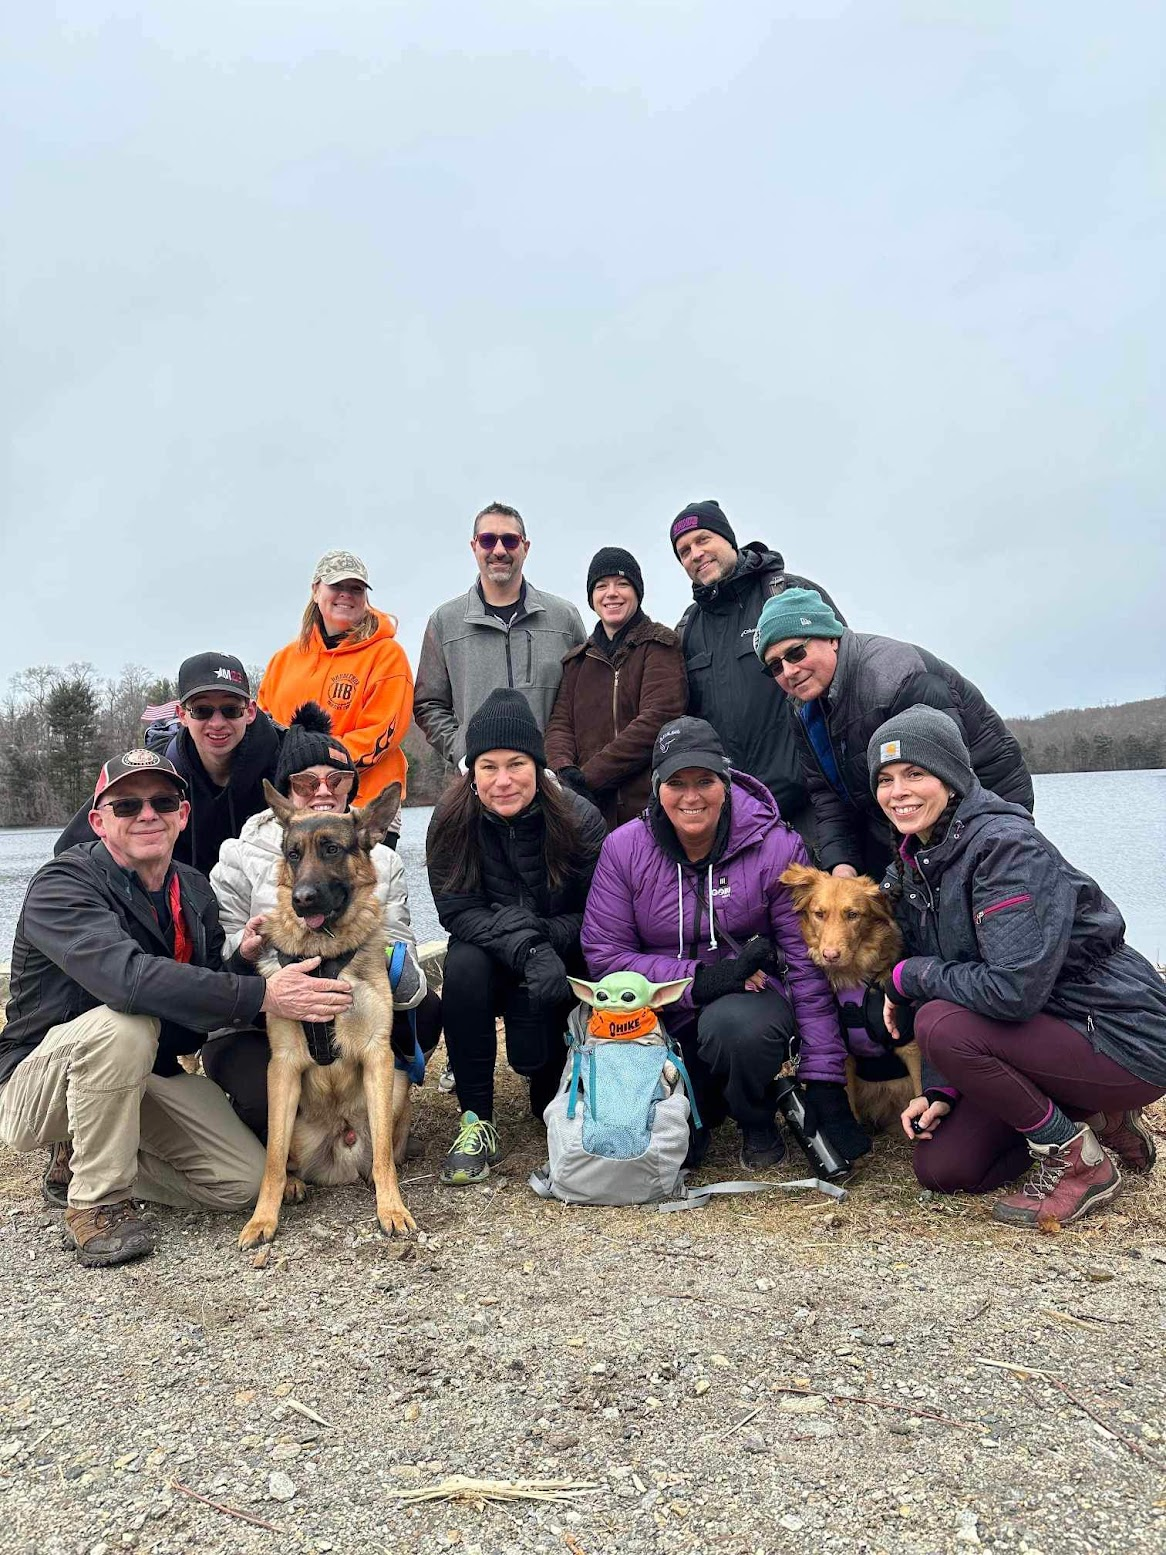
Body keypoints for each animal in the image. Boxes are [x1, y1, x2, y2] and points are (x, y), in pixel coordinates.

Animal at [237, 777, 416, 1250]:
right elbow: (272, 1159)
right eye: (293, 854)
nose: (302, 900)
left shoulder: (379, 1056)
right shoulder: (282, 1067)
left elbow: (384, 1158)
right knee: (286, 1159)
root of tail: (341, 1140)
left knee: (383, 1151)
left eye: (332, 849)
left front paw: (392, 1209)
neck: (325, 956)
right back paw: (295, 1184)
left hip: (397, 1083)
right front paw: (262, 1219)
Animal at [780, 864, 926, 1132]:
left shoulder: (910, 1045)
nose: (830, 955)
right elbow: (847, 1101)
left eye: (852, 915)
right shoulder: (845, 1053)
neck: (854, 983)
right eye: (819, 914)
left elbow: (922, 1092)